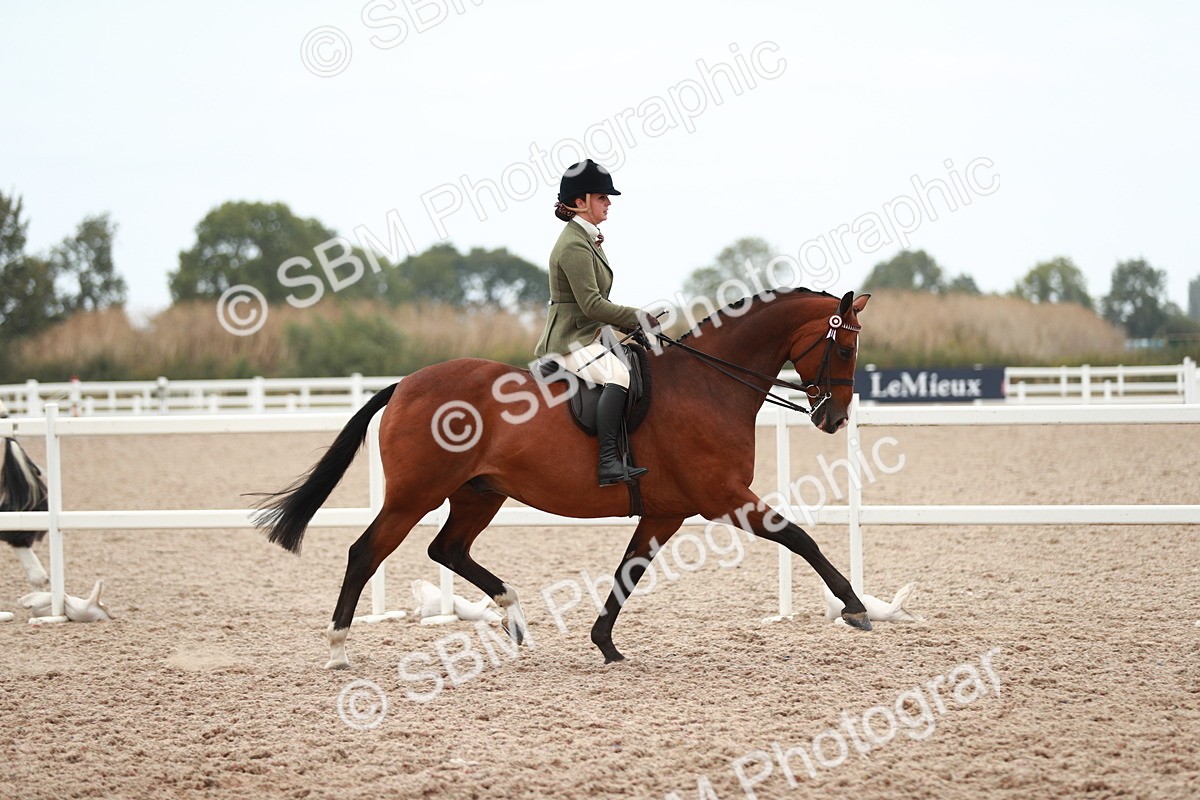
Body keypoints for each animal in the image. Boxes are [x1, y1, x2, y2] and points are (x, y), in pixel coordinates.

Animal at [256, 288, 872, 668]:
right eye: (844, 346)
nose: (835, 419)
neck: (709, 383)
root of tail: (405, 383)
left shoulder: (667, 510)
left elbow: (629, 571)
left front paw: (605, 645)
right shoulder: (722, 497)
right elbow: (800, 537)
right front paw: (855, 607)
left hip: (478, 494)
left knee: (447, 549)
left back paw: (513, 617)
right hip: (415, 495)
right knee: (366, 552)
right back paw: (339, 649)